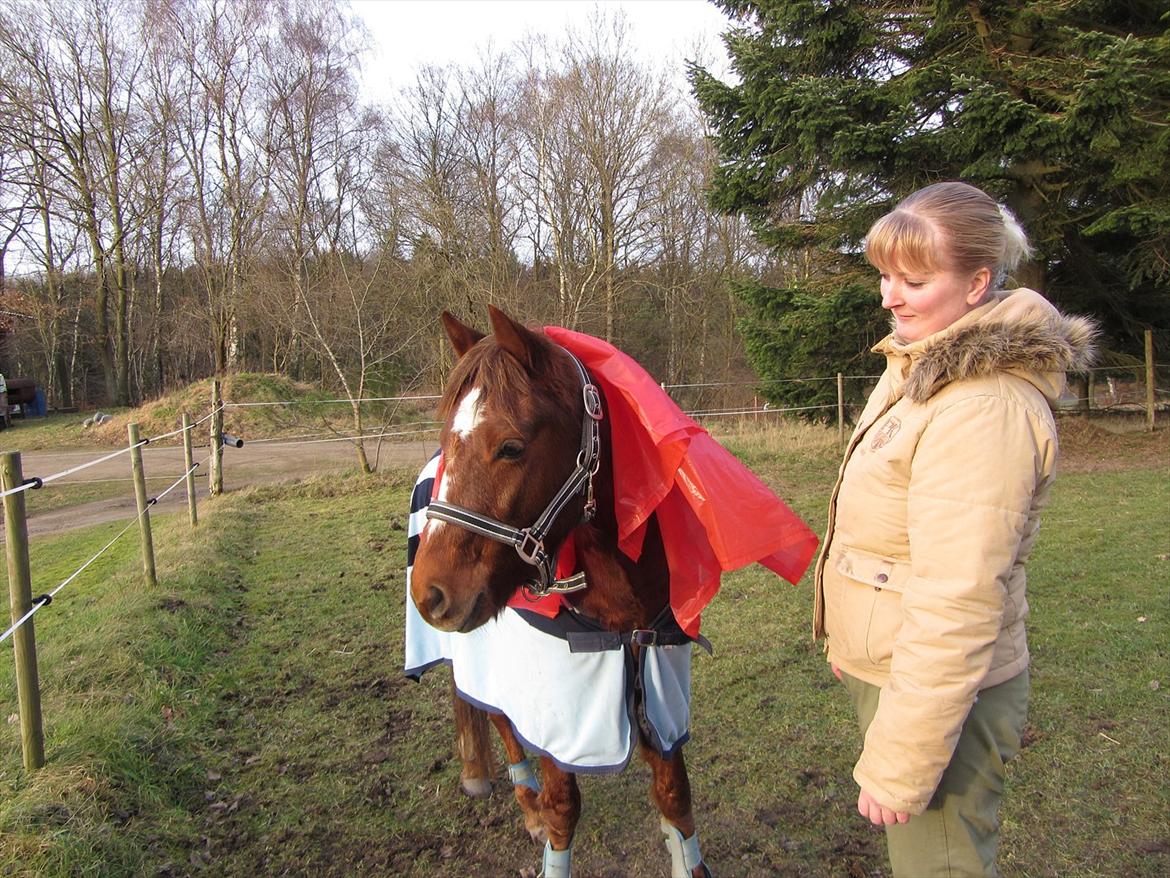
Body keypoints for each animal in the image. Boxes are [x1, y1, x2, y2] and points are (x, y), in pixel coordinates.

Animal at [409, 307, 713, 877]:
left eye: (510, 447)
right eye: (450, 439)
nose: (429, 593)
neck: (622, 604)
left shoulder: (659, 695)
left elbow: (675, 795)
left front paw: (685, 855)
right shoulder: (556, 706)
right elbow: (563, 807)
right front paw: (545, 821)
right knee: (499, 719)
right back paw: (523, 800)